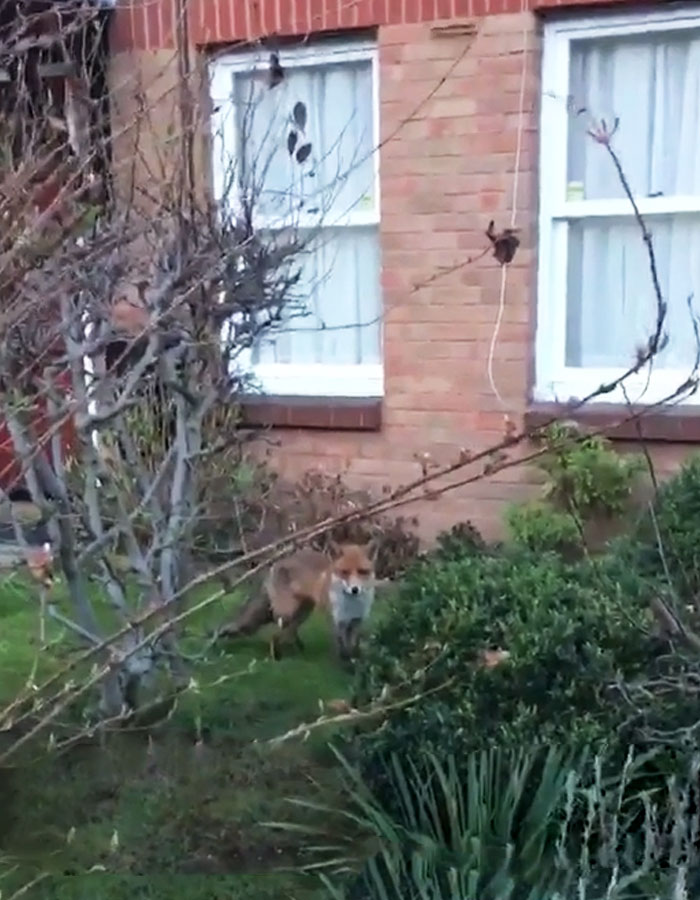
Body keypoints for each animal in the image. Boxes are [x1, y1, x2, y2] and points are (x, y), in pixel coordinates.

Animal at [217, 541, 377, 662]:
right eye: (344, 572)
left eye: (363, 571)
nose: (355, 589)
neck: (351, 605)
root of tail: (275, 564)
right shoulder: (336, 622)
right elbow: (341, 649)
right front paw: (345, 666)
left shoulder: (356, 622)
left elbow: (353, 647)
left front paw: (355, 663)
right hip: (287, 613)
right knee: (275, 634)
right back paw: (277, 657)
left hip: (303, 612)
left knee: (290, 632)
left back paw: (300, 649)